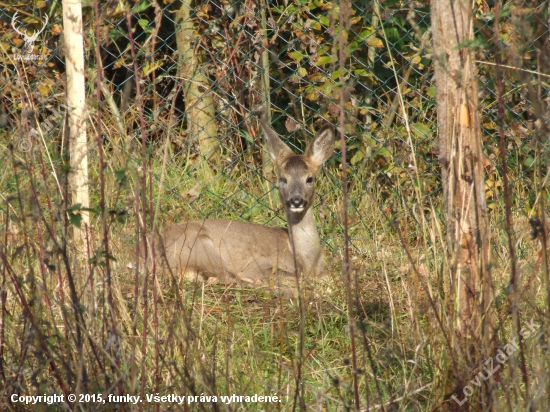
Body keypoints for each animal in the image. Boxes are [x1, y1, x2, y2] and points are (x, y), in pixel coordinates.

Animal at [151, 112, 338, 292]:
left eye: (310, 179)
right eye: (283, 179)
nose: (296, 200)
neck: (307, 260)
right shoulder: (259, 265)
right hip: (200, 245)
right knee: (229, 278)